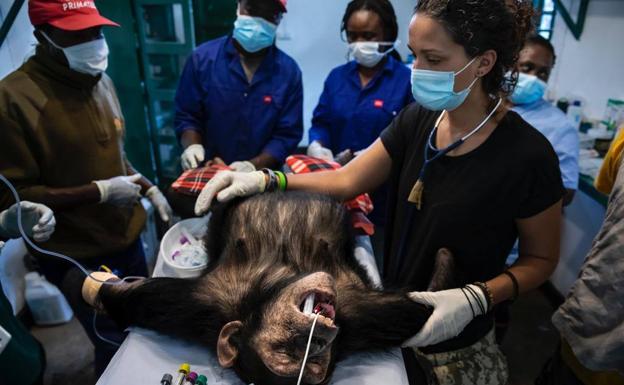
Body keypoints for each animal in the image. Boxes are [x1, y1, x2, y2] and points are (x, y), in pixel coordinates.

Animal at [83, 190, 454, 382]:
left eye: (311, 352)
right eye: (291, 351)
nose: (320, 337)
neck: (272, 286)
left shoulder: (358, 316)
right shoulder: (193, 305)